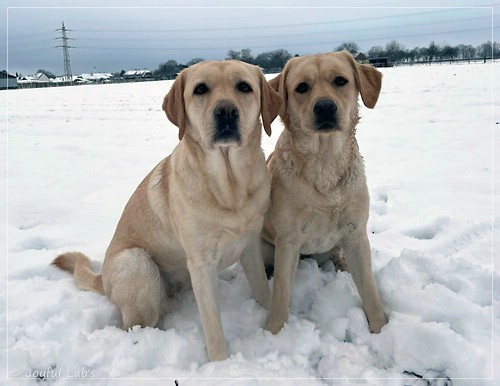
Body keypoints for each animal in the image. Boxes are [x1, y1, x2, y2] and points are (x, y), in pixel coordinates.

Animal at [54, 60, 284, 362]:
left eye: (244, 87)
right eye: (200, 89)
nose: (226, 111)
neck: (229, 187)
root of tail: (102, 278)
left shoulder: (249, 246)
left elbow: (262, 290)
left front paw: (274, 324)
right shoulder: (200, 263)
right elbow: (212, 322)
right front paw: (221, 362)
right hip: (137, 262)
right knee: (135, 325)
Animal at [264, 51, 388, 334]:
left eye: (340, 80)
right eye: (301, 87)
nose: (324, 107)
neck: (325, 160)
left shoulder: (355, 232)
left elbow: (369, 288)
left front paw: (381, 328)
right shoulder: (287, 240)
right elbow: (280, 294)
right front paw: (274, 332)